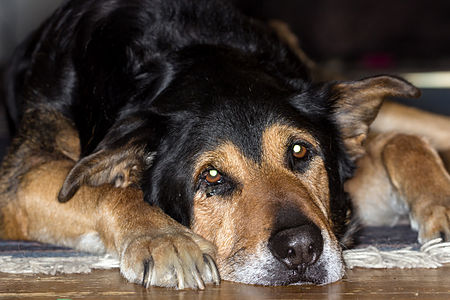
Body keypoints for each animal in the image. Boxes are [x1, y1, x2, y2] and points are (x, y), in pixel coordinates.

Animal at [0, 0, 448, 290]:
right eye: (211, 176)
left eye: (300, 152)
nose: (301, 249)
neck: (193, 52)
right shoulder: (19, 183)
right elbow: (110, 190)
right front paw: (165, 238)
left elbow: (403, 143)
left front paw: (439, 206)